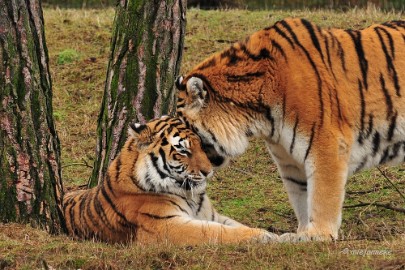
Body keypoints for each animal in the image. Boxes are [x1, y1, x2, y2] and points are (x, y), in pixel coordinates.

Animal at [63, 115, 278, 245]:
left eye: (201, 145)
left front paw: (278, 236)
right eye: (183, 150)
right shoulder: (165, 225)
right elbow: (216, 232)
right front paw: (263, 235)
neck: (192, 195)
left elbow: (234, 225)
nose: (208, 171)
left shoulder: (212, 215)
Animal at [174, 19, 404, 243]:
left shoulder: (327, 145)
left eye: (190, 138)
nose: (201, 170)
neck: (262, 116)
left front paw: (319, 234)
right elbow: (301, 196)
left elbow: (322, 193)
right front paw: (300, 233)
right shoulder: (289, 160)